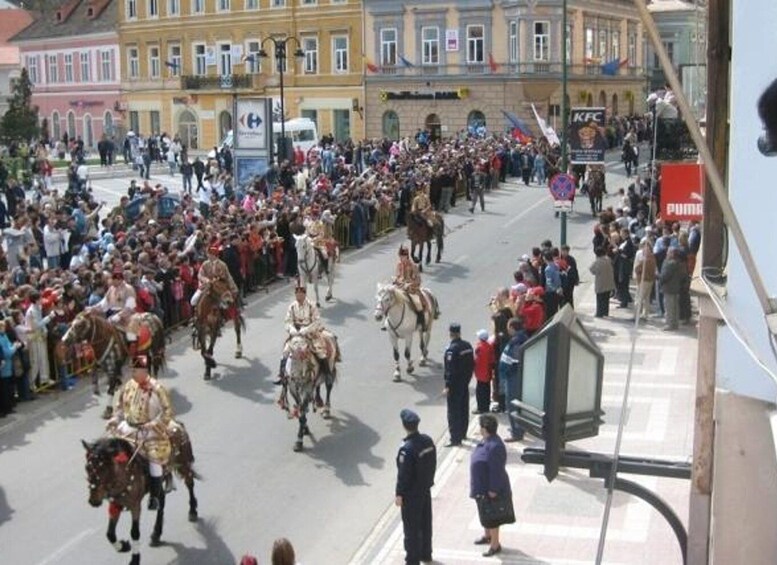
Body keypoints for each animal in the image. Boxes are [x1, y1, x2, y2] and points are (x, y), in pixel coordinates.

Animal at [80, 424, 197, 564]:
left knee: (190, 484)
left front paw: (135, 559)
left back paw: (192, 511)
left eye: (103, 468)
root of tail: (177, 424)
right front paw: (123, 546)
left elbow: (134, 532)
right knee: (161, 502)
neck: (123, 473)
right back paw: (156, 534)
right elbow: (110, 533)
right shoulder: (116, 503)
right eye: (87, 467)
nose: (93, 500)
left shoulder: (135, 505)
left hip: (184, 463)